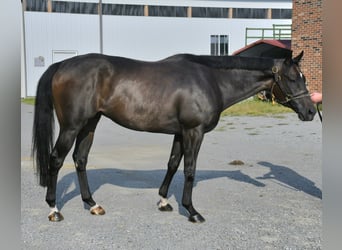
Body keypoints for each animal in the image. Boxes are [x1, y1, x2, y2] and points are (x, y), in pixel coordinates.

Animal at [31, 50, 316, 223]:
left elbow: (172, 164)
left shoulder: (180, 133)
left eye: (304, 77)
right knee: (56, 160)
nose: (312, 111)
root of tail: (62, 65)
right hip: (72, 126)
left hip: (90, 123)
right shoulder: (193, 131)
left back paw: (92, 204)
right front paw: (192, 211)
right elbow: (189, 169)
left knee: (80, 159)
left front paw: (164, 202)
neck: (211, 80)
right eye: (292, 78)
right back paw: (54, 209)